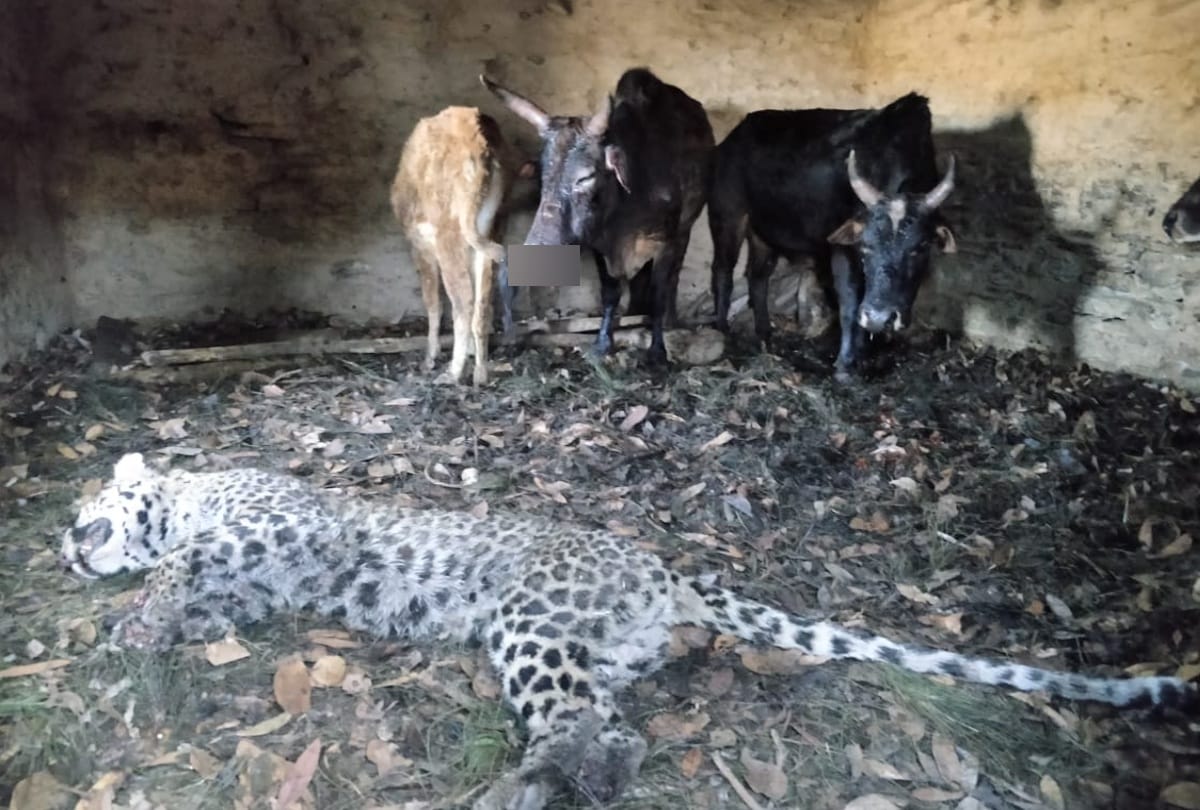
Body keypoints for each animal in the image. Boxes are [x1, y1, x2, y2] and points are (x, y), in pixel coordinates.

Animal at [62, 453, 1197, 810]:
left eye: (85, 505)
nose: (67, 544)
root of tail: (663, 569)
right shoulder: (256, 588)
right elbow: (202, 596)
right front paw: (140, 628)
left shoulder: (279, 527)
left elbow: (183, 563)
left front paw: (139, 605)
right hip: (585, 652)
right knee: (610, 728)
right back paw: (559, 780)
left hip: (528, 620)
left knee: (579, 727)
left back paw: (520, 791)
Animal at [390, 106, 532, 387]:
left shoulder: (420, 245)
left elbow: (432, 300)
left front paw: (430, 358)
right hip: (490, 227)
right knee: (483, 302)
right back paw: (480, 374)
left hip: (450, 234)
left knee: (463, 302)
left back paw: (453, 372)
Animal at [481, 68, 715, 368]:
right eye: (542, 174)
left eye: (586, 177)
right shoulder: (599, 245)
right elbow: (611, 293)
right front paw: (604, 342)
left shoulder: (666, 240)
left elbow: (659, 292)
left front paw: (657, 351)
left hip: (686, 228)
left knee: (672, 277)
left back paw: (669, 321)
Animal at [708, 93, 957, 382]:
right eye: (865, 246)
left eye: (921, 247)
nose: (879, 318)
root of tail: (731, 140)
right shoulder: (842, 251)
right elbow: (849, 303)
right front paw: (845, 364)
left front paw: (866, 353)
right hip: (728, 217)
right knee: (723, 271)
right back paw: (723, 331)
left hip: (763, 233)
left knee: (757, 275)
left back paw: (765, 334)